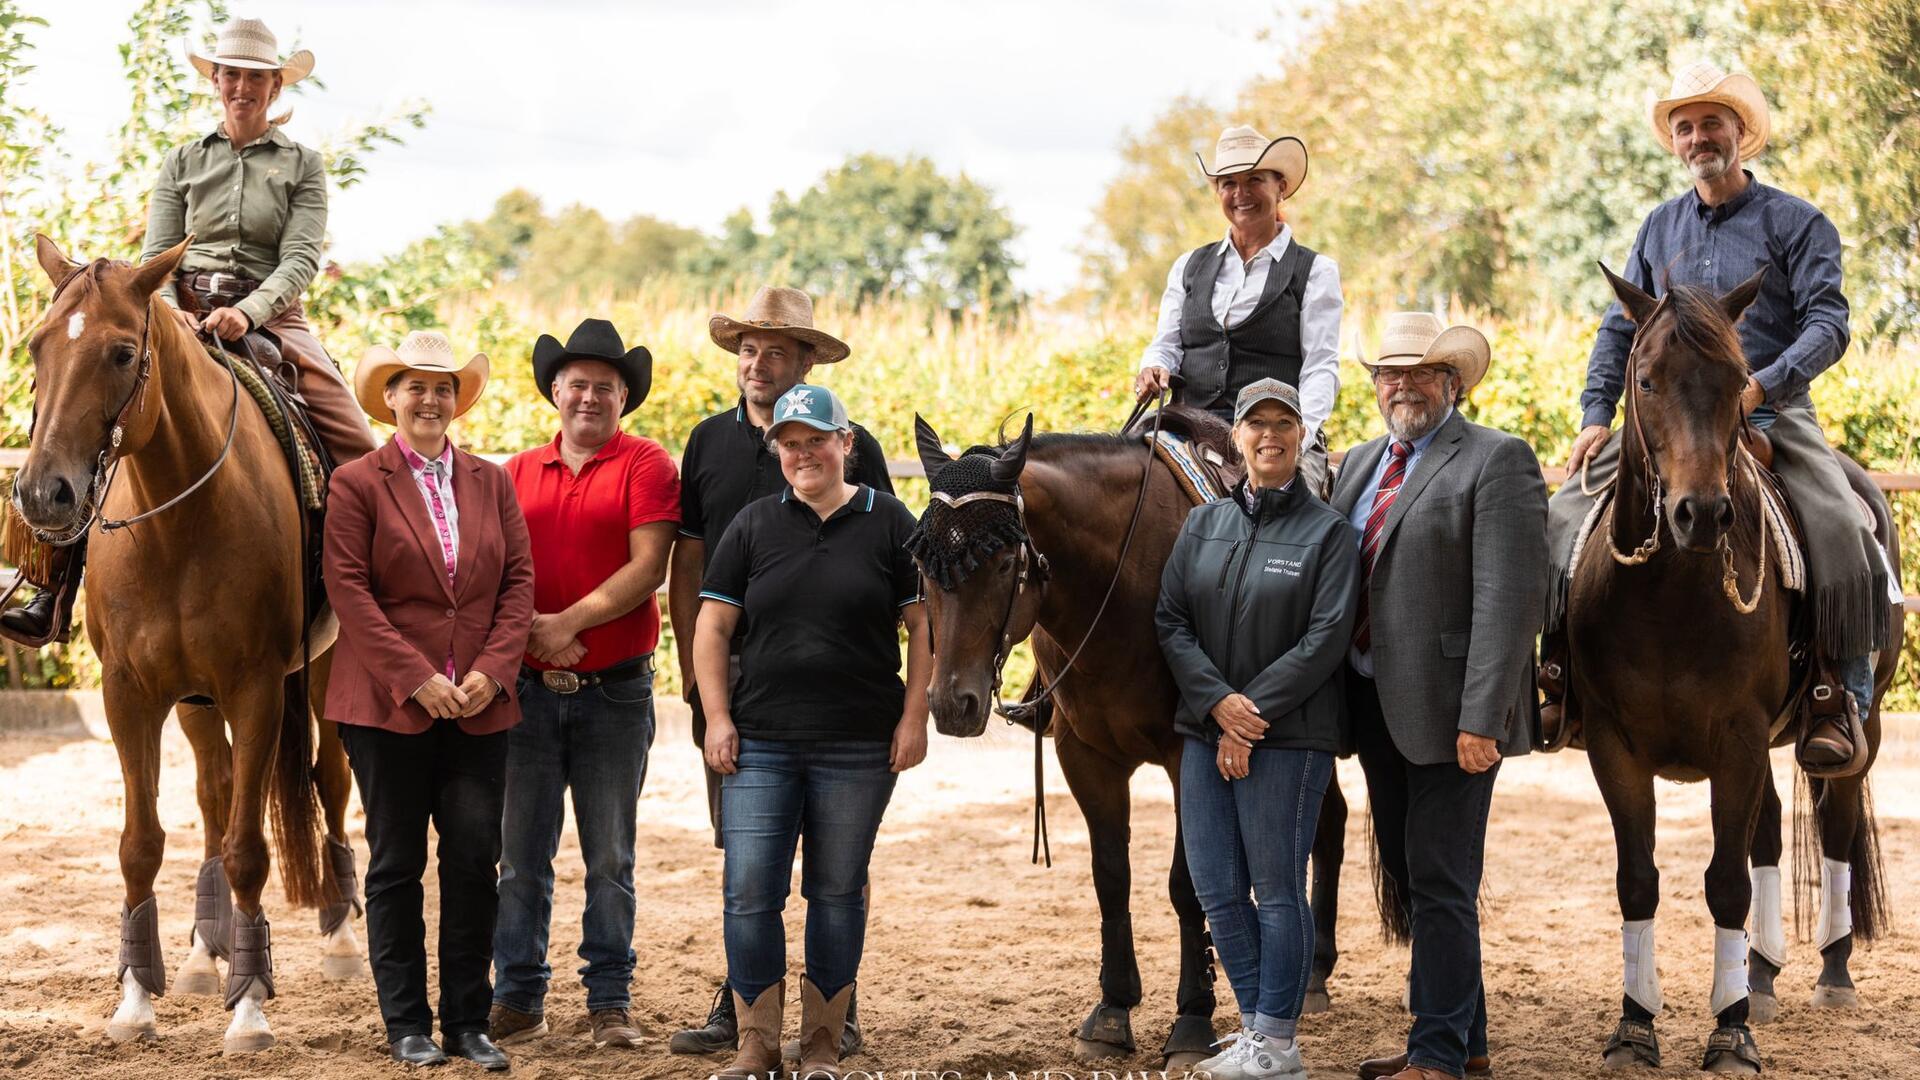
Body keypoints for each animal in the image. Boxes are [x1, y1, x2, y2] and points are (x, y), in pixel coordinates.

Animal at [12, 237, 362, 1053]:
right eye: (37, 346)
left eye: (119, 353)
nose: (44, 494)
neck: (179, 521)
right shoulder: (128, 694)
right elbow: (142, 843)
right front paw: (138, 998)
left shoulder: (258, 689)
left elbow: (249, 849)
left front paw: (251, 1005)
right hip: (198, 701)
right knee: (216, 789)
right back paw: (207, 951)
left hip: (323, 676)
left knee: (328, 781)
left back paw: (338, 937)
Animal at [906, 407, 1359, 1060]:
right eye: (924, 566)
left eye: (1002, 563)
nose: (951, 704)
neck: (1119, 588)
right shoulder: (1084, 755)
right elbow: (1110, 878)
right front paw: (1113, 1010)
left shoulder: (1185, 755)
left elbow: (1186, 884)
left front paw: (1193, 1019)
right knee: (1329, 821)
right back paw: (1316, 973)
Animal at [1566, 265, 1896, 1068]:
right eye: (1646, 380)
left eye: (1738, 379)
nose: (1701, 513)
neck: (1668, 598)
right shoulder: (1614, 747)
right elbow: (1639, 880)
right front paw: (1635, 1025)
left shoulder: (1738, 740)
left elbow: (1725, 884)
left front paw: (1730, 1031)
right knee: (1771, 832)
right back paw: (1764, 972)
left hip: (1855, 730)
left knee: (1835, 828)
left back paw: (1830, 974)